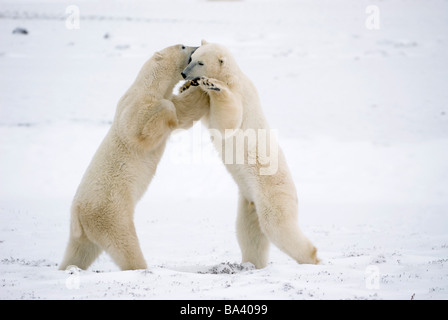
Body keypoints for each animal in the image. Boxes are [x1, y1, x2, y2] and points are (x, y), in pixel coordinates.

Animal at [181, 41, 318, 268]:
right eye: (192, 58)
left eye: (200, 62)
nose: (183, 74)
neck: (231, 76)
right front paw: (184, 88)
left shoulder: (239, 93)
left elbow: (228, 119)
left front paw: (212, 85)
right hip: (249, 199)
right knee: (249, 232)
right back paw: (250, 263)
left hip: (272, 193)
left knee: (278, 227)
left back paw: (312, 259)